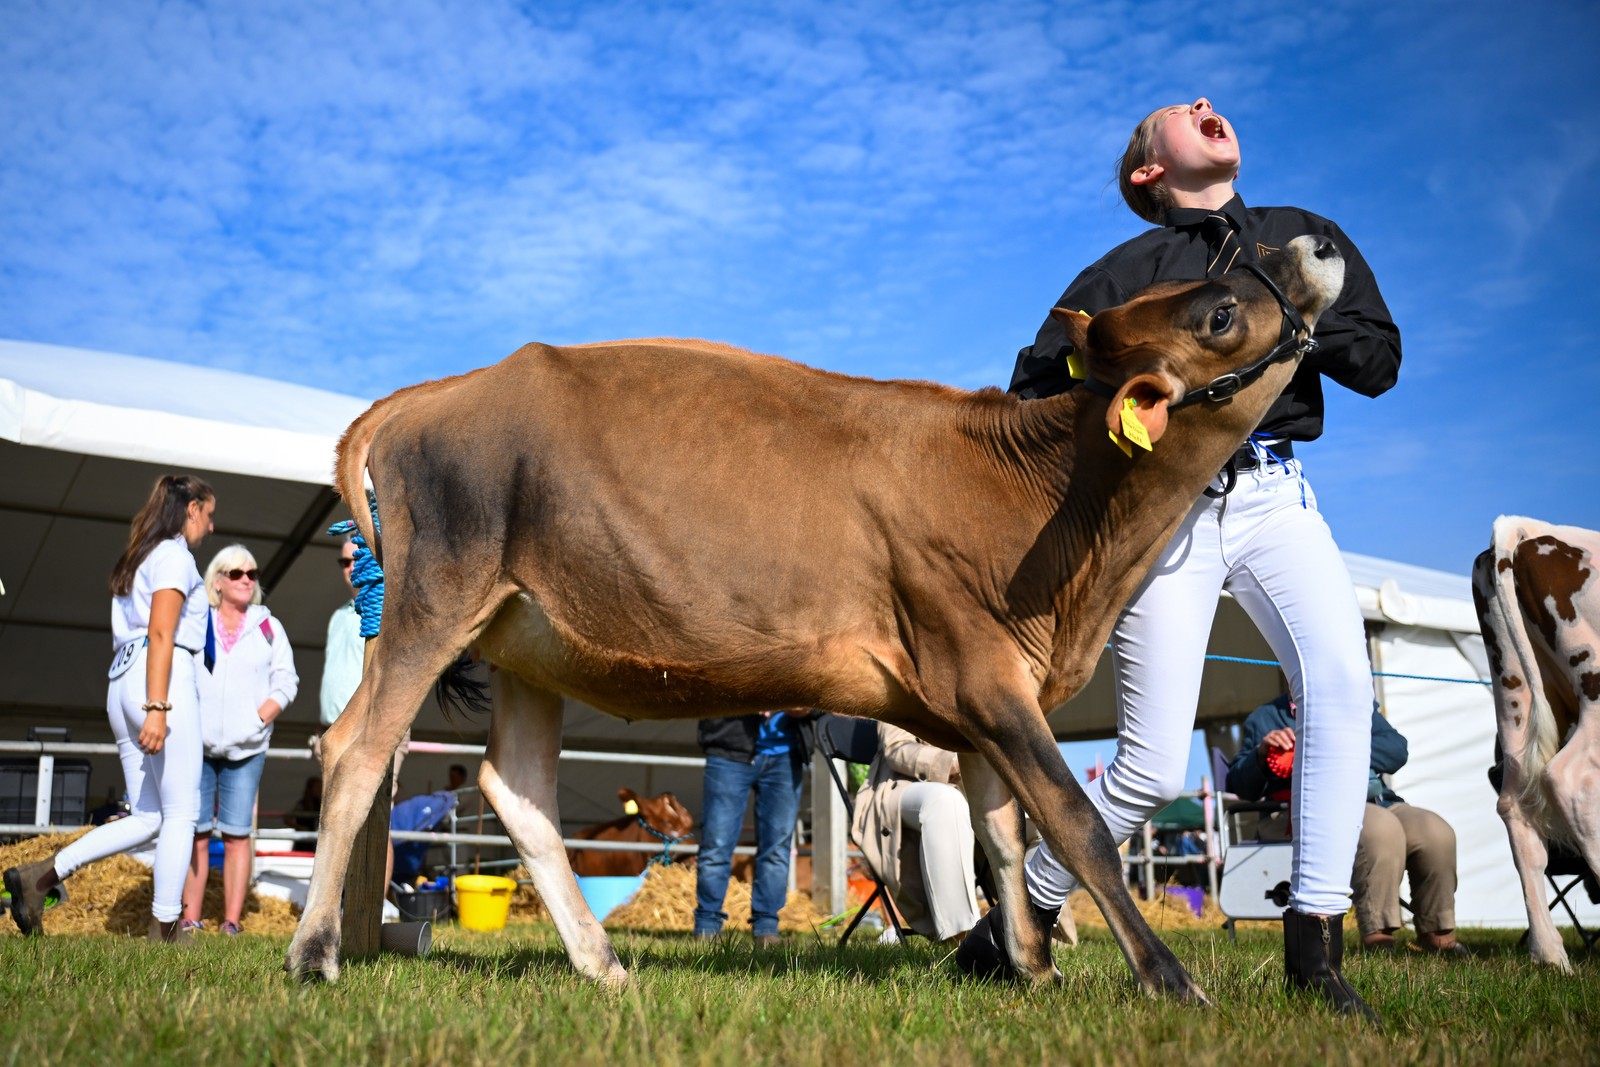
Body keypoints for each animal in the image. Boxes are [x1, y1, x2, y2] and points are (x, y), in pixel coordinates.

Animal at [288, 235, 1346, 1000]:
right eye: (1219, 313)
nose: (1316, 242)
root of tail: (438, 392)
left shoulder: (980, 705)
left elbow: (1006, 836)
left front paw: (1032, 970)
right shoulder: (983, 673)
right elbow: (1076, 823)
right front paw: (1168, 980)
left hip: (527, 642)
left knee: (516, 790)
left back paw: (603, 963)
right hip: (436, 596)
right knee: (354, 747)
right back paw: (314, 952)